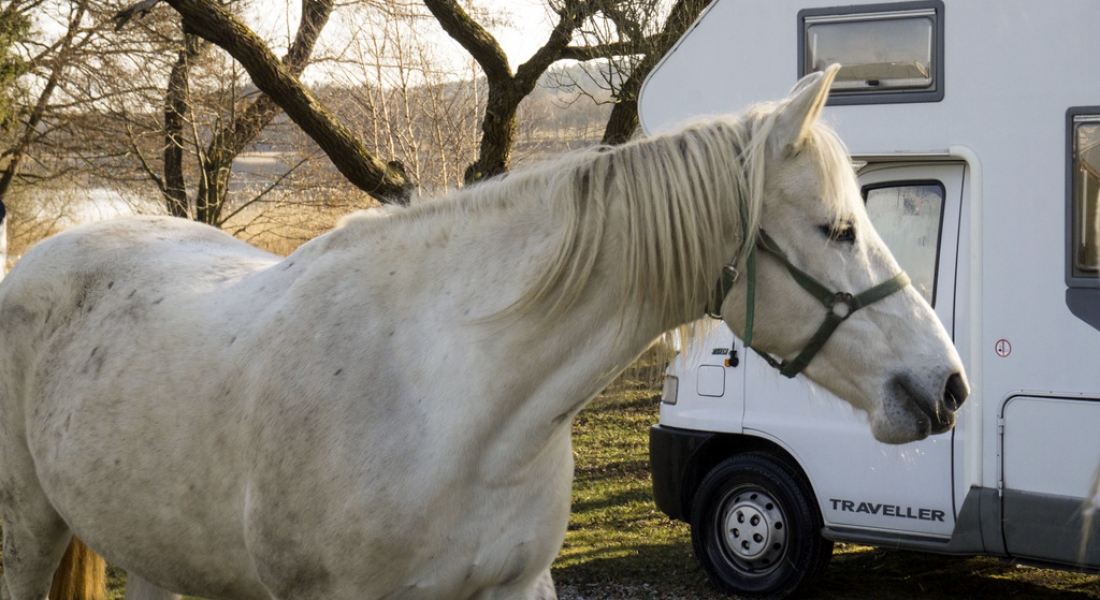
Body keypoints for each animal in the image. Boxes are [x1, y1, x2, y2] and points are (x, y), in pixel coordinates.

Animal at [0, 65, 963, 598]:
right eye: (837, 229)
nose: (946, 384)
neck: (455, 406)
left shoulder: (517, 584)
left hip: (159, 556)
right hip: (25, 540)